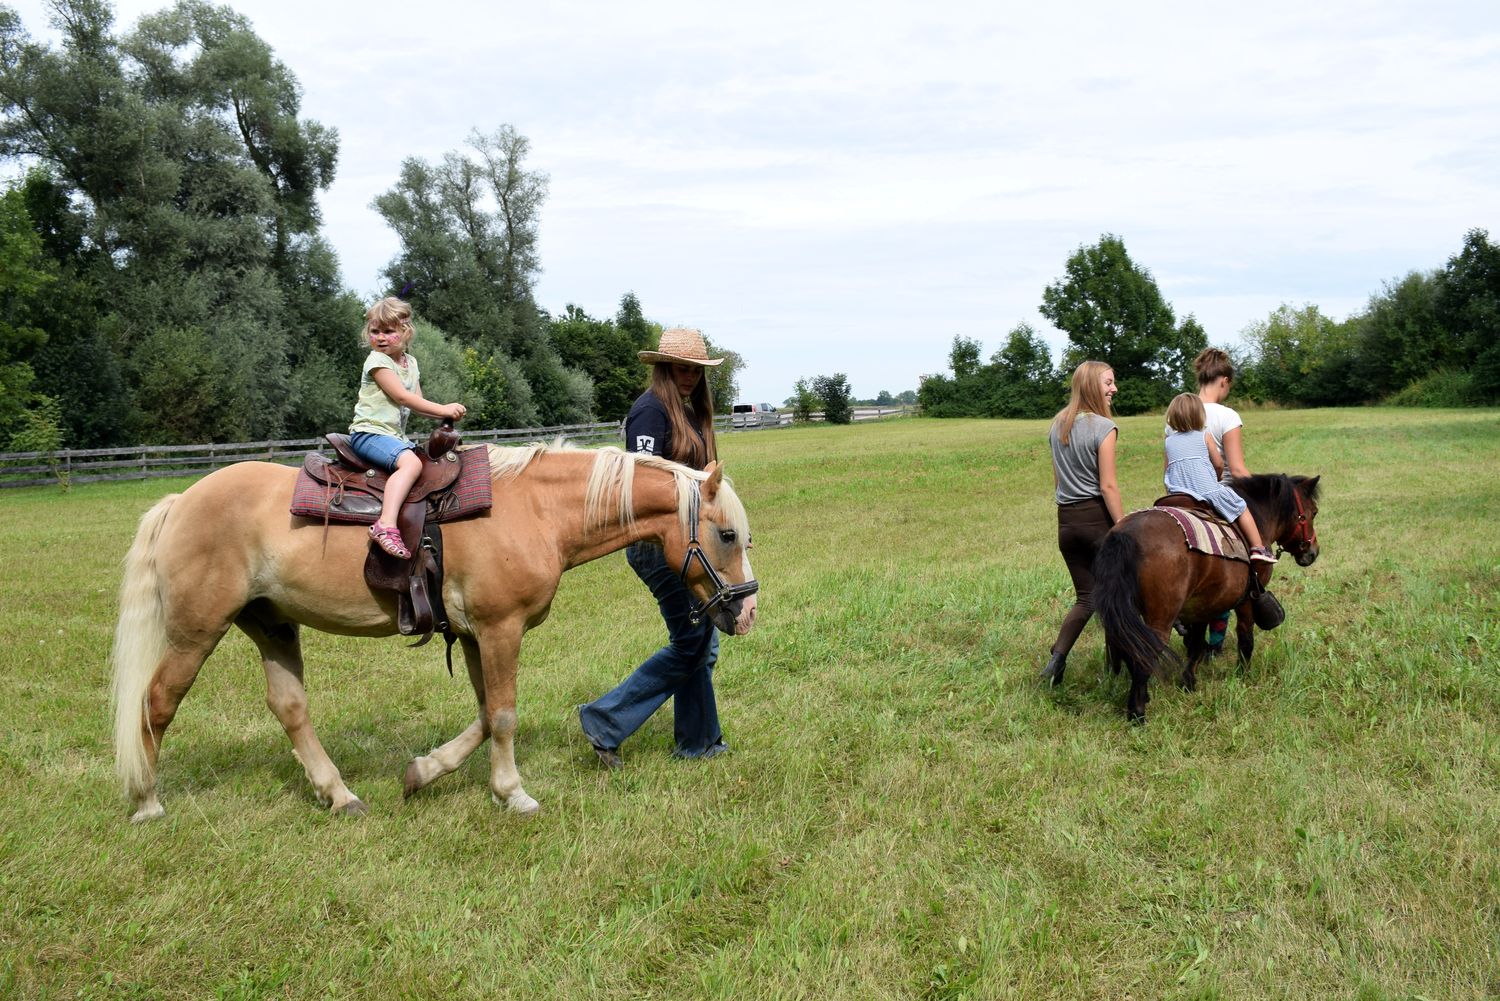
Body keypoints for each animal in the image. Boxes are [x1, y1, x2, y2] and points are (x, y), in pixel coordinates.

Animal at [109, 447, 756, 822]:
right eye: (726, 535)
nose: (746, 613)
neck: (536, 509)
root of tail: (180, 500)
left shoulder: (473, 635)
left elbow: (485, 713)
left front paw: (424, 772)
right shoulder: (499, 629)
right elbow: (503, 716)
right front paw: (513, 793)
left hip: (271, 624)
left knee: (289, 707)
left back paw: (338, 794)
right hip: (196, 633)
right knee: (156, 704)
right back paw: (145, 801)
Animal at [1086, 474, 1320, 723]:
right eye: (1313, 512)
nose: (1313, 552)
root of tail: (1124, 535)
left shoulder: (1199, 606)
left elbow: (1196, 645)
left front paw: (1188, 683)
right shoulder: (1248, 599)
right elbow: (1245, 638)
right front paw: (1243, 675)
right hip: (1160, 619)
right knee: (1143, 656)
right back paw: (1137, 713)